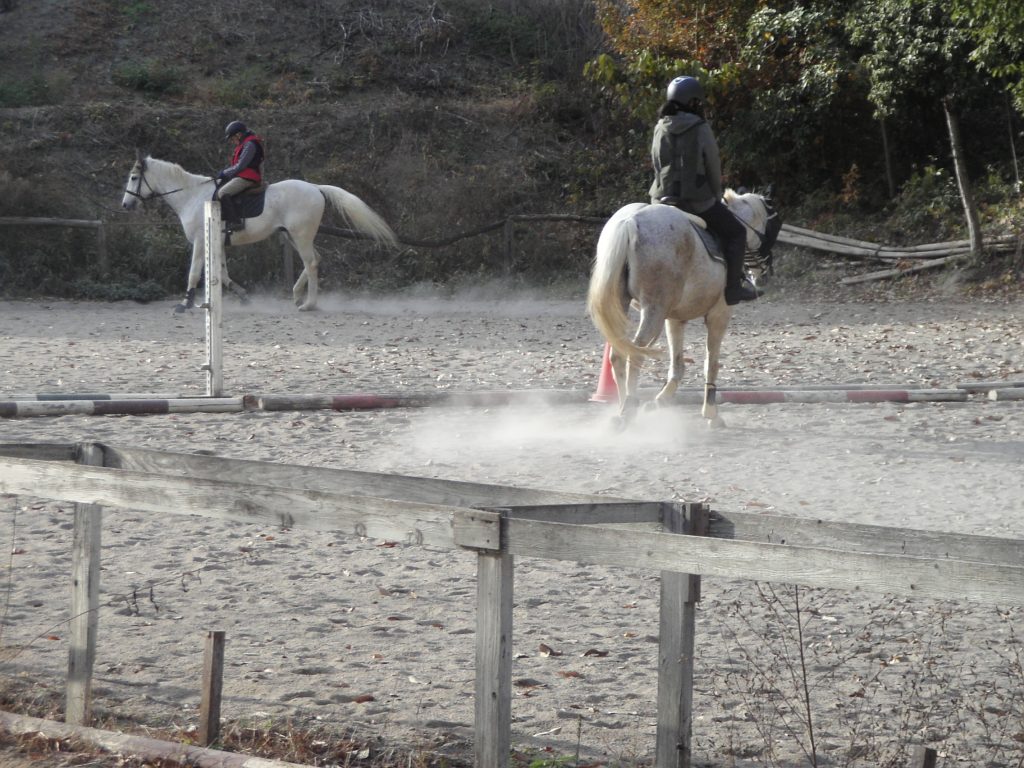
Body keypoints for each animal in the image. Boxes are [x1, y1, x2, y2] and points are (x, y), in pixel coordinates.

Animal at [121, 153, 398, 312]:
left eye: (134, 178)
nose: (125, 205)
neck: (192, 196)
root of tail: (315, 188)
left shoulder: (200, 241)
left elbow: (194, 273)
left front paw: (184, 303)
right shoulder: (217, 243)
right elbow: (222, 274)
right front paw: (243, 297)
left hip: (300, 235)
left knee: (311, 263)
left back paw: (309, 304)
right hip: (292, 236)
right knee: (315, 260)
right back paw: (296, 296)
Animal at [586, 190, 773, 429]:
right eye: (766, 231)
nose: (763, 276)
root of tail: (630, 221)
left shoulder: (674, 319)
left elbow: (677, 364)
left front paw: (660, 401)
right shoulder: (719, 315)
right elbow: (711, 363)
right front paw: (711, 412)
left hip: (628, 305)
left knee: (619, 353)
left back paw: (622, 410)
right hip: (653, 311)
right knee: (635, 352)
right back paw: (628, 409)